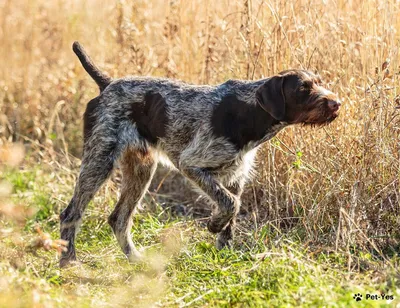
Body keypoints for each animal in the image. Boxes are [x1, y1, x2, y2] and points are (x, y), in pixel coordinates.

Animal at [59, 41, 340, 268]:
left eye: (320, 82)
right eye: (303, 89)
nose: (337, 103)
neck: (249, 112)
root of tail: (107, 84)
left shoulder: (235, 177)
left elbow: (231, 213)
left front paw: (224, 251)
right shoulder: (192, 165)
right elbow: (230, 204)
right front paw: (214, 225)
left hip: (141, 168)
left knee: (119, 218)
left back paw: (135, 259)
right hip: (99, 160)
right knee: (71, 214)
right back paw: (68, 261)